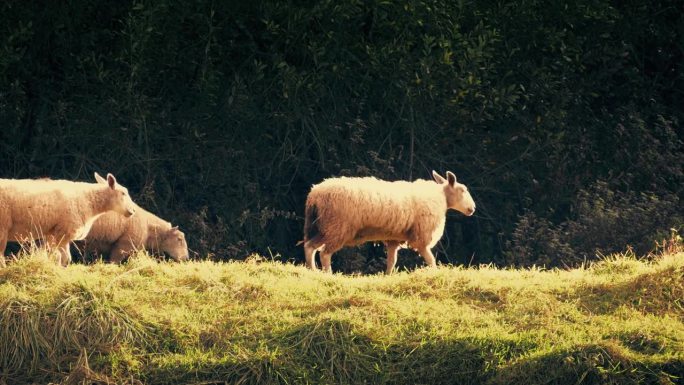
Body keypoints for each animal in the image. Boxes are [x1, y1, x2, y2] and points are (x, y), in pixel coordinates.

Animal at [0, 172, 138, 266]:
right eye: (123, 193)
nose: (133, 211)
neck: (89, 201)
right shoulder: (63, 232)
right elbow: (63, 258)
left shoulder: (55, 233)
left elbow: (59, 257)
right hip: (3, 226)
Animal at [304, 170, 476, 272]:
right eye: (462, 190)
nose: (472, 208)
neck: (441, 197)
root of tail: (314, 194)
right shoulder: (421, 235)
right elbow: (430, 259)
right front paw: (435, 273)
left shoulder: (394, 238)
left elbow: (392, 261)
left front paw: (388, 275)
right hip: (336, 227)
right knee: (324, 253)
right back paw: (327, 274)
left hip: (323, 227)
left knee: (309, 247)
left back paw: (313, 271)